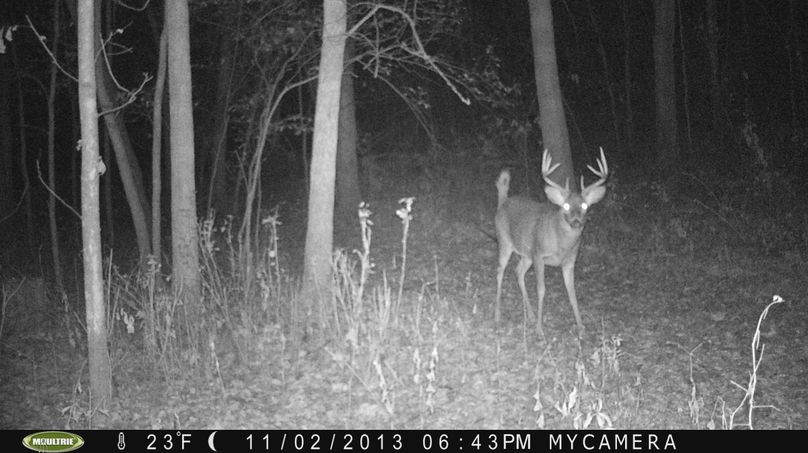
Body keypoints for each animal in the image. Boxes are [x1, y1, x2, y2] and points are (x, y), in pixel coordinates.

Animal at [494, 148, 608, 338]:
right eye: (566, 206)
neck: (561, 244)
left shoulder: (569, 261)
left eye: (585, 206)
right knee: (500, 271)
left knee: (518, 271)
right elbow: (541, 290)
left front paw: (581, 327)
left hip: (527, 254)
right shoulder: (539, 255)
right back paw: (497, 313)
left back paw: (531, 316)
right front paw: (540, 330)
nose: (577, 222)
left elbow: (572, 293)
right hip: (505, 241)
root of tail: (503, 201)